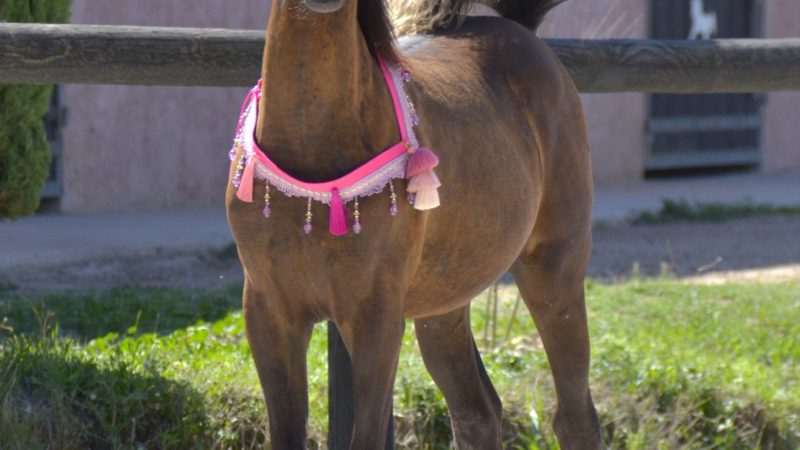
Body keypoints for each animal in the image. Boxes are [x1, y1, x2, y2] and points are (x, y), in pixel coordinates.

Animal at [225, 0, 603, 448]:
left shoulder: (375, 317)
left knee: (574, 417)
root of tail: (524, 32)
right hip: (444, 299)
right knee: (477, 412)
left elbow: (367, 436)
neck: (310, 139)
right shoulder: (270, 311)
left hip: (554, 273)